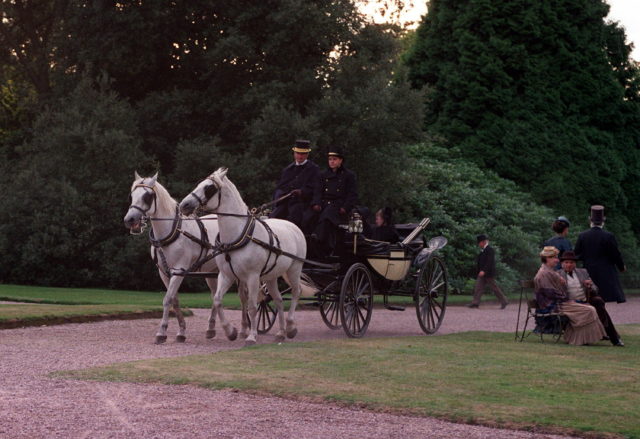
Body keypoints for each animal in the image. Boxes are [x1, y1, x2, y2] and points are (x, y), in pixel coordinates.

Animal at [123, 174, 232, 346]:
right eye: (131, 196)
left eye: (147, 196)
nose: (130, 219)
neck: (172, 232)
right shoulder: (164, 273)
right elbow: (175, 300)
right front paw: (181, 331)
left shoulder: (179, 271)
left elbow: (167, 299)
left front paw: (161, 332)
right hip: (212, 272)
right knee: (215, 295)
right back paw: (210, 329)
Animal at [179, 168, 306, 348]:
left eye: (209, 187)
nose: (184, 205)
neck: (238, 235)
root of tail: (293, 226)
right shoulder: (226, 275)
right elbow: (217, 300)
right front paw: (230, 331)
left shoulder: (252, 277)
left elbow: (252, 306)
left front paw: (251, 336)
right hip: (271, 276)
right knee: (279, 299)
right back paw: (281, 333)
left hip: (295, 268)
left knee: (296, 292)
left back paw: (290, 327)